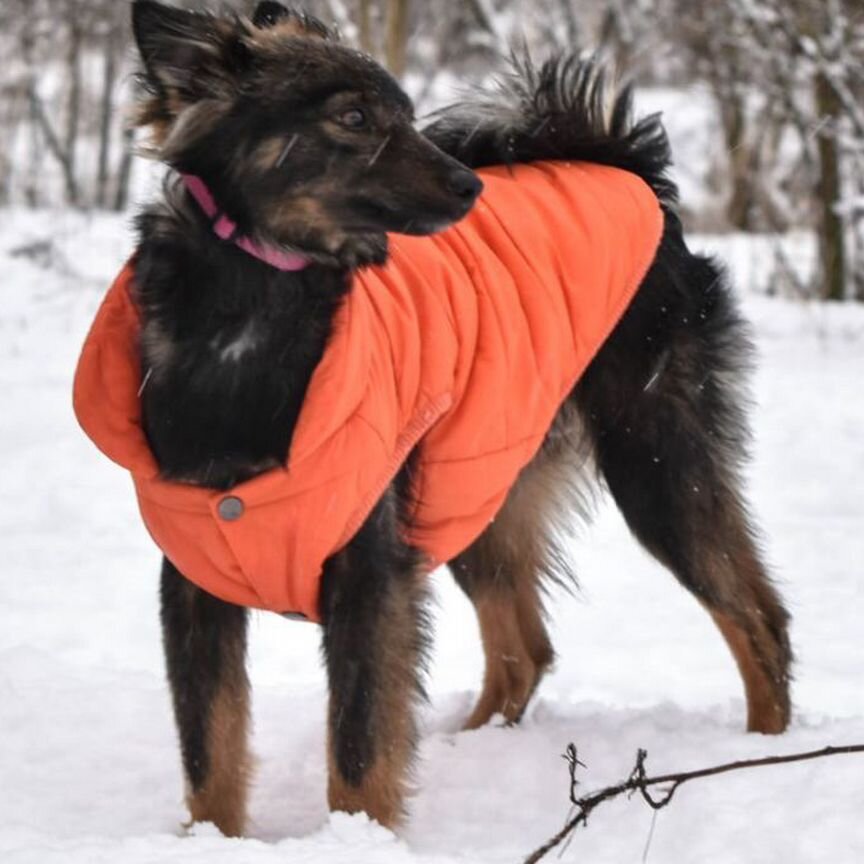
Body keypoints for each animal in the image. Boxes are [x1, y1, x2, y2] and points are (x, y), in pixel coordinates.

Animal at [72, 0, 788, 836]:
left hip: (655, 462)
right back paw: (468, 749)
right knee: (524, 652)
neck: (254, 310)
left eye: (412, 118)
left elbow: (356, 748)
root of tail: (631, 173)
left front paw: (357, 839)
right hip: (474, 491)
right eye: (354, 118)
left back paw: (765, 757)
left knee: (757, 617)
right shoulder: (194, 577)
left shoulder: (369, 574)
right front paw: (213, 841)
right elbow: (209, 749)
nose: (471, 186)